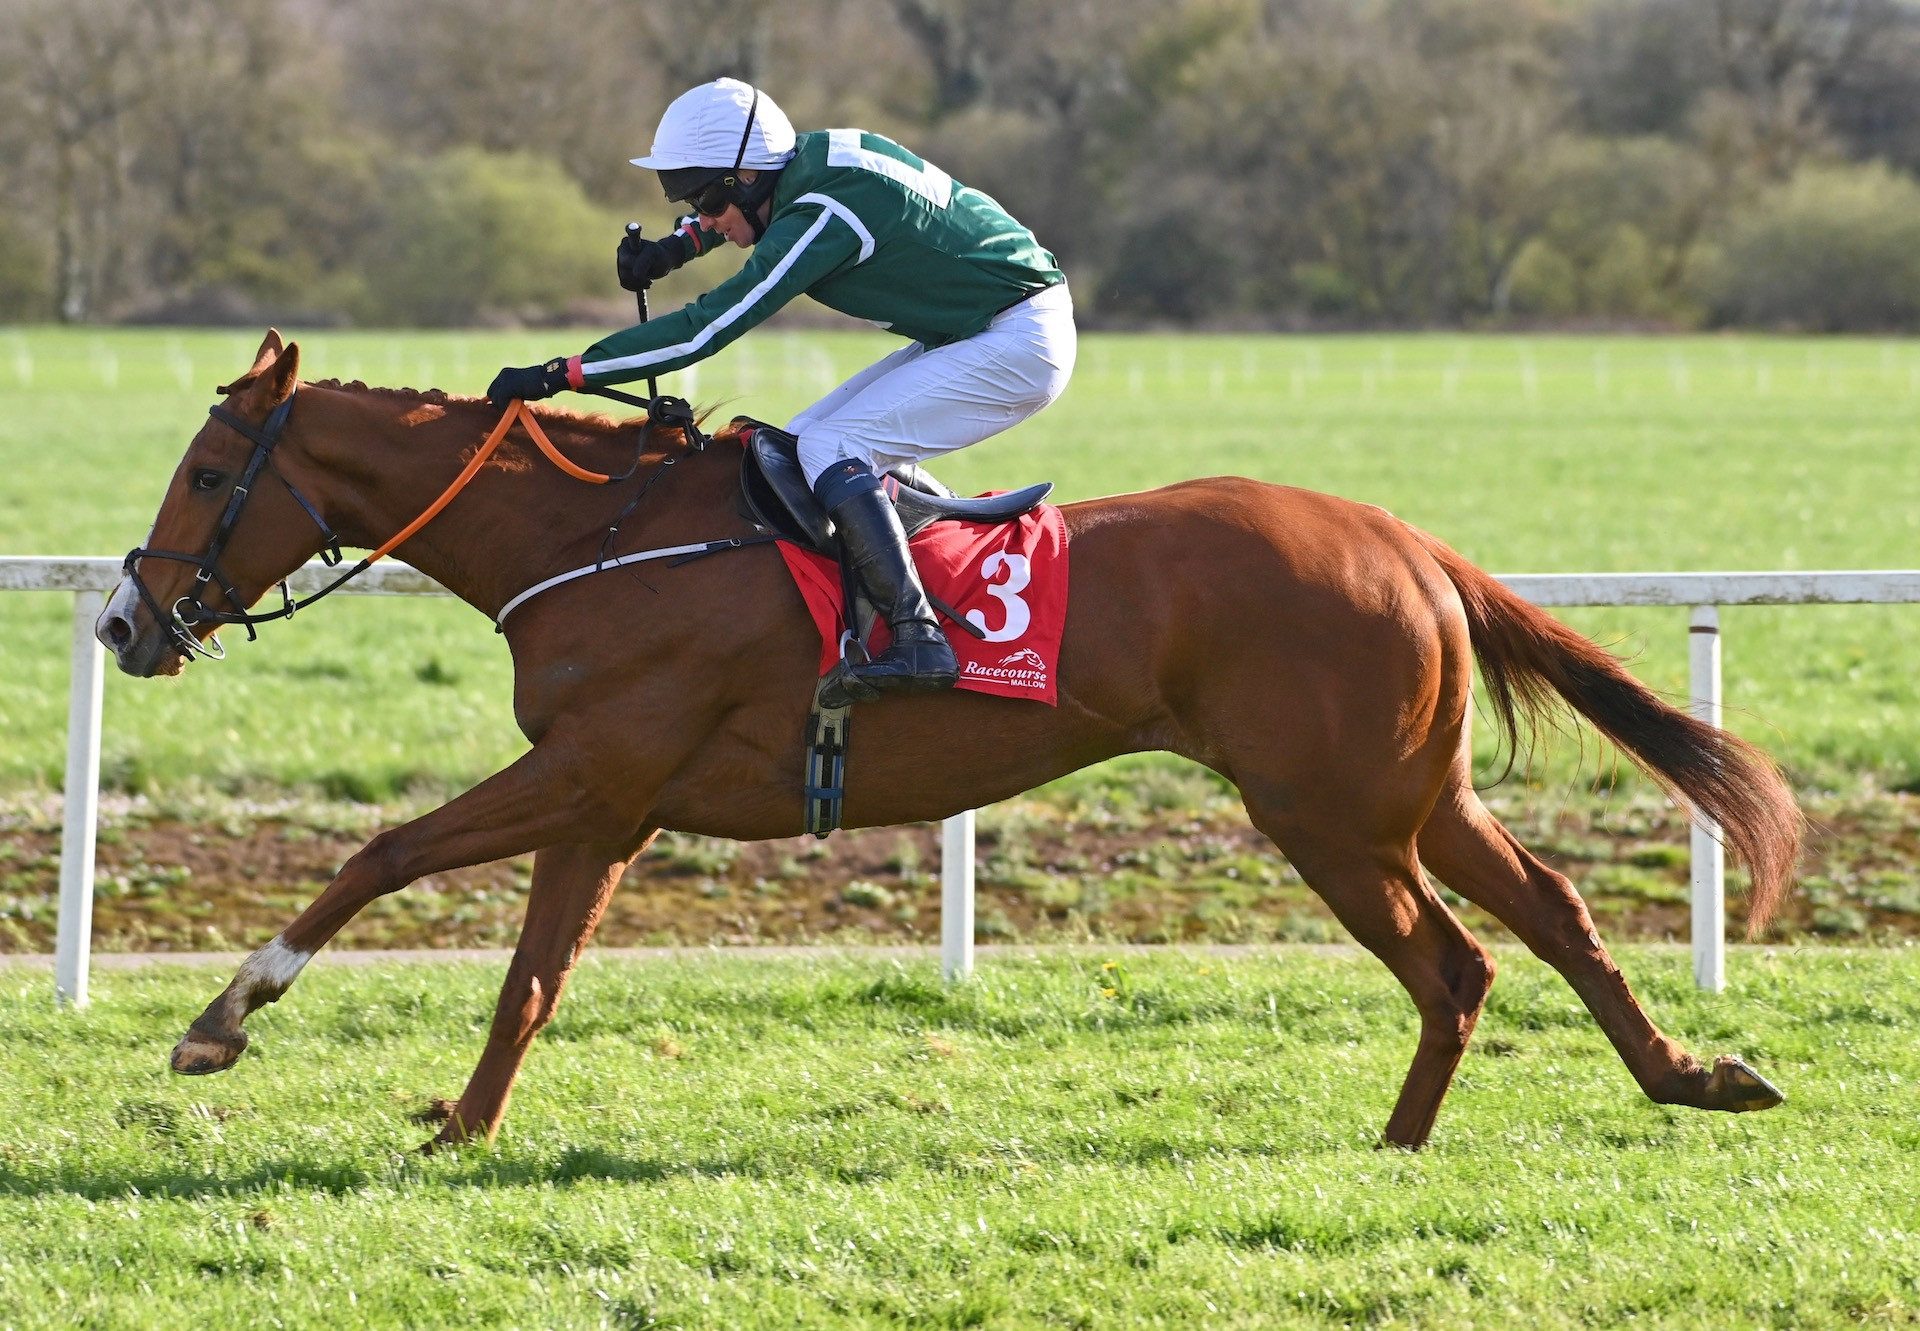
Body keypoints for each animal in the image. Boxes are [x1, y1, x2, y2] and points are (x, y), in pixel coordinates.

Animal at [93, 334, 1797, 1152]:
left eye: (205, 473)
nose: (121, 620)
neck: (597, 536)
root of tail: (1408, 539)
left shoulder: (589, 769)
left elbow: (380, 850)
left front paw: (221, 1021)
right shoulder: (605, 801)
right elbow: (530, 976)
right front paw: (461, 1119)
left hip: (1327, 810)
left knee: (1456, 962)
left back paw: (1395, 1139)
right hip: (1404, 795)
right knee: (1554, 914)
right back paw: (1689, 1074)